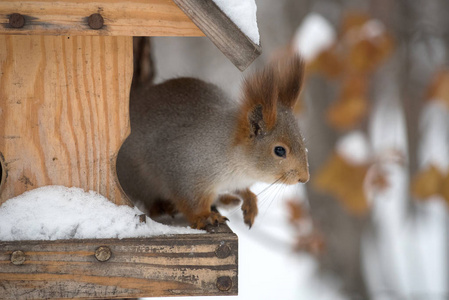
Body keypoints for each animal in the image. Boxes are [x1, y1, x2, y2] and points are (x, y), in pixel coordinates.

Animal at [116, 52, 308, 229]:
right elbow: (191, 201)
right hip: (138, 179)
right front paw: (205, 217)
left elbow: (242, 190)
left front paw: (249, 201)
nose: (304, 178)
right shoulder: (185, 172)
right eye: (279, 150)